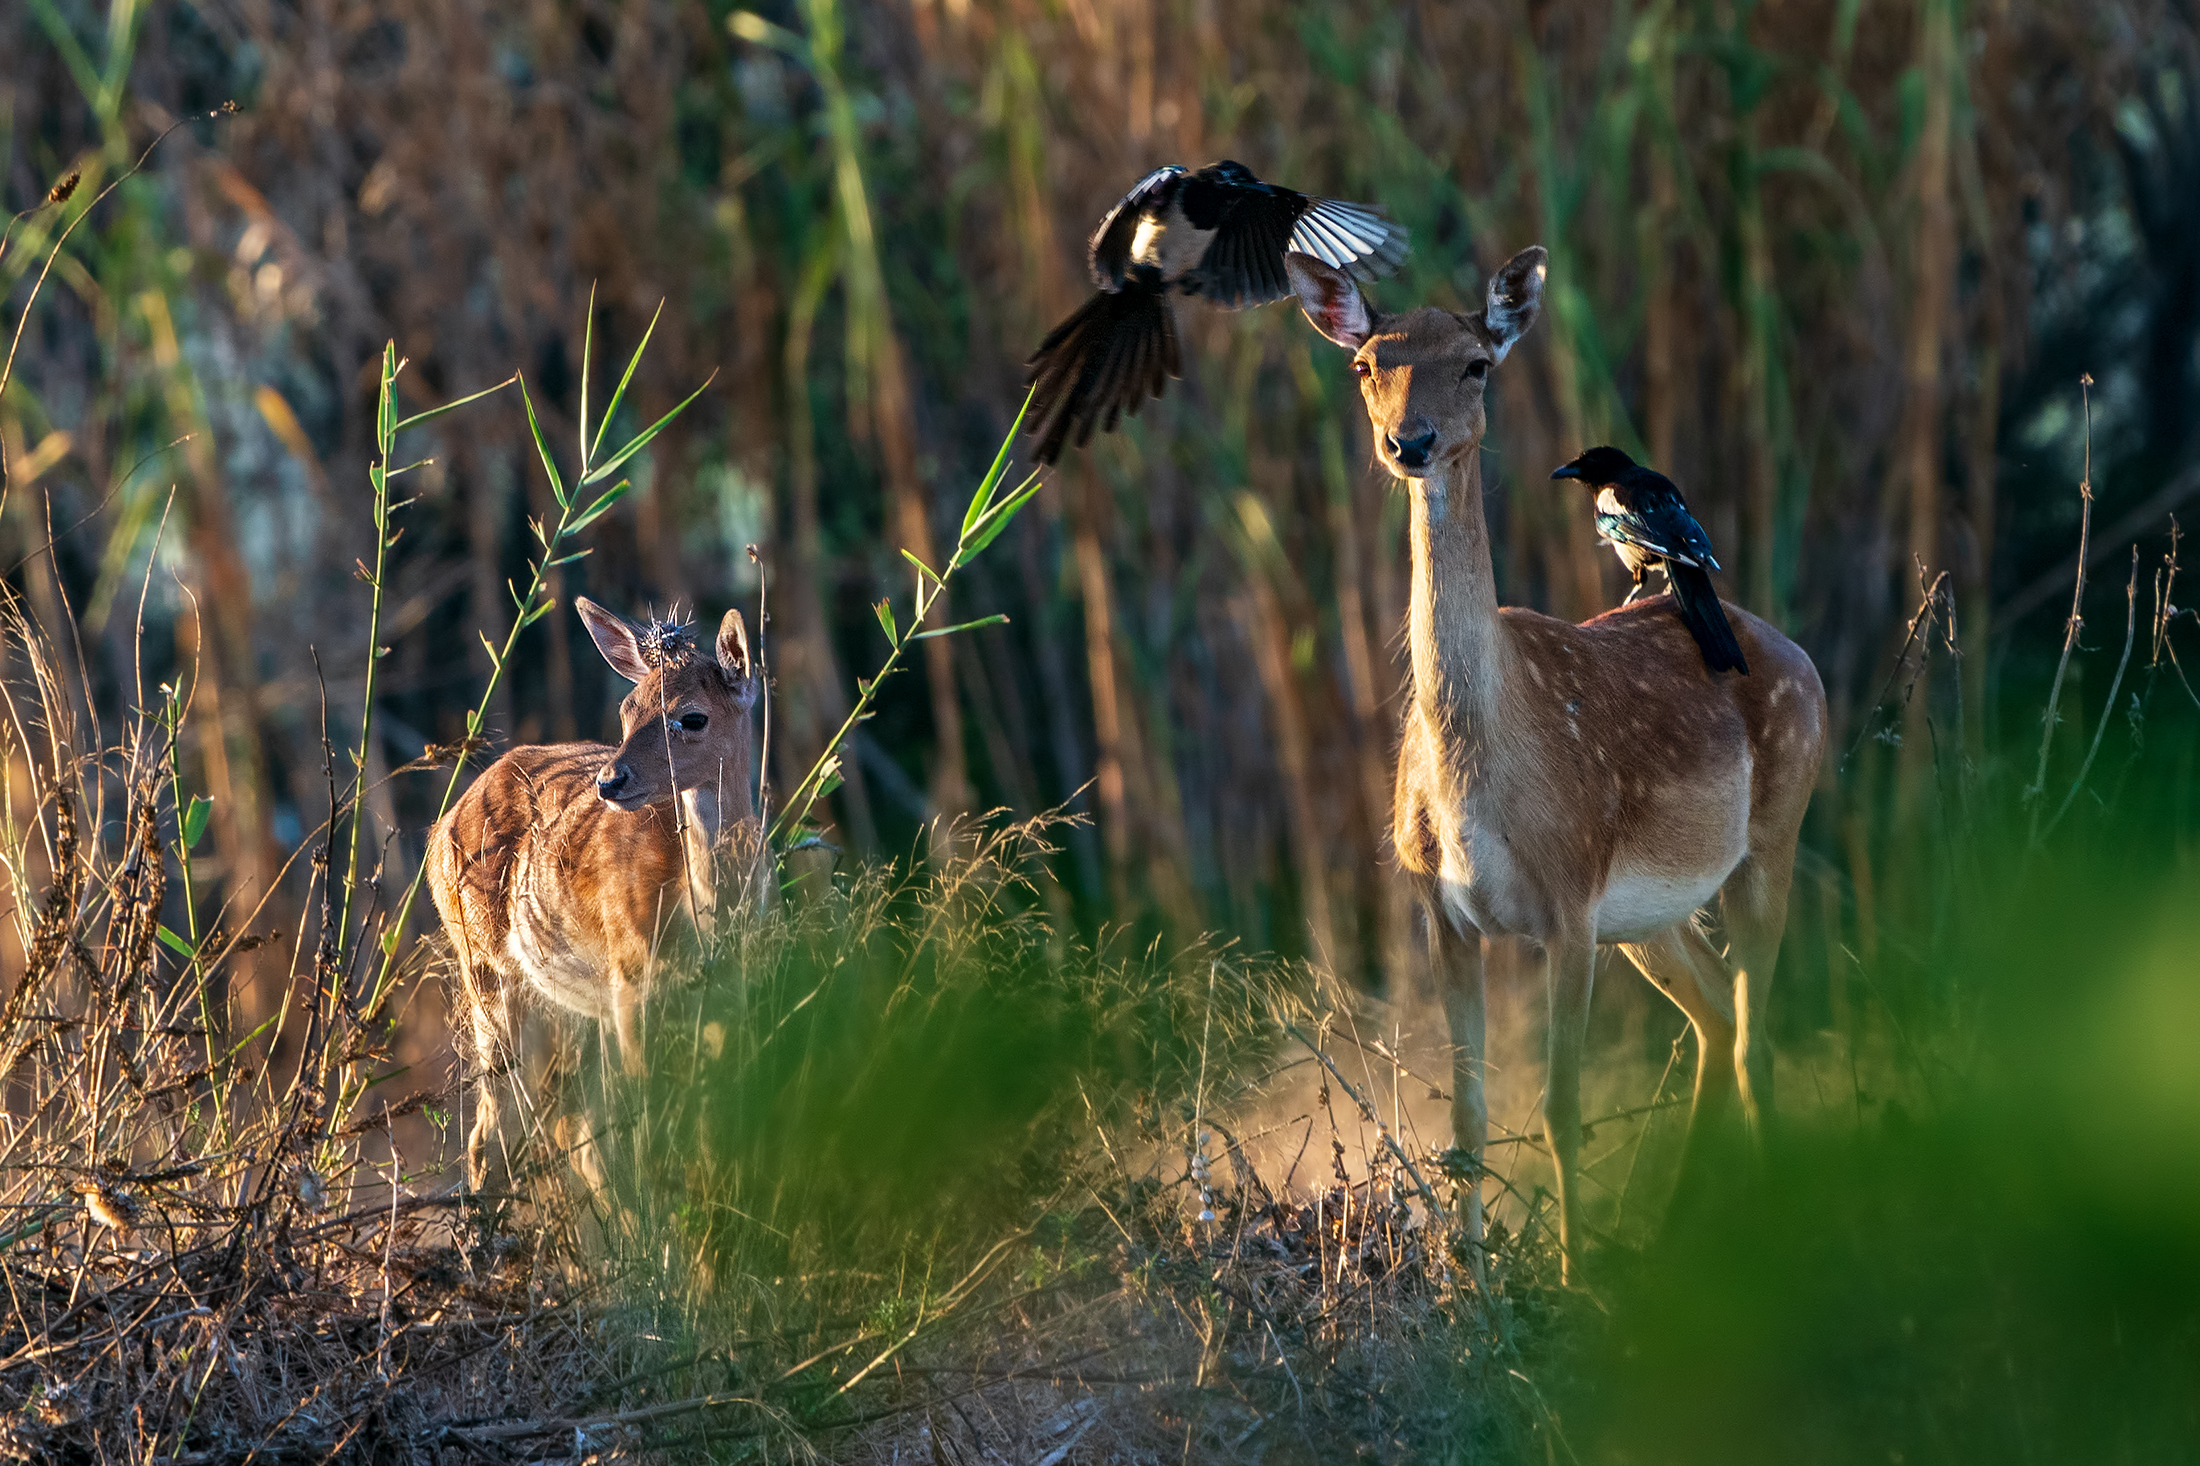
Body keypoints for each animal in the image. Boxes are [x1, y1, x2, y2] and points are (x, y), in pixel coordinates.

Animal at [426, 598, 760, 1188]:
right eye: (627, 710)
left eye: (693, 717)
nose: (610, 780)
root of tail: (439, 828)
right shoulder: (630, 982)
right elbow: (655, 1135)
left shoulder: (731, 992)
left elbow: (710, 1132)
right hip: (484, 967)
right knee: (491, 1132)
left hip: (577, 1006)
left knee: (575, 1132)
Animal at [1286, 246, 1827, 1283]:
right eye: (1367, 364)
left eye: (1476, 364)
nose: (1410, 443)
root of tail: (1804, 660)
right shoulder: (1440, 912)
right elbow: (1468, 1116)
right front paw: (1473, 1287)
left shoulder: (1569, 903)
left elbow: (1562, 1109)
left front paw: (1571, 1285)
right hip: (1650, 917)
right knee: (1716, 1018)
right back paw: (1671, 1238)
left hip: (1772, 834)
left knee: (1757, 1039)